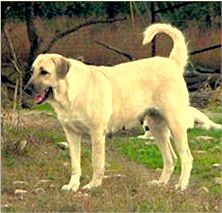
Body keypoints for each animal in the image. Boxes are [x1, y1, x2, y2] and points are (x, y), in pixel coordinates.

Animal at [25, 23, 193, 191]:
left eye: (44, 72)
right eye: (32, 71)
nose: (26, 89)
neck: (72, 93)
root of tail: (172, 63)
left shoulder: (97, 133)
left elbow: (97, 162)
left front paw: (93, 185)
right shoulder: (71, 134)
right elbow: (75, 165)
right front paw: (72, 185)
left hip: (175, 125)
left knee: (186, 157)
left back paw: (181, 186)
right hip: (156, 127)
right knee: (170, 158)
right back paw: (160, 183)